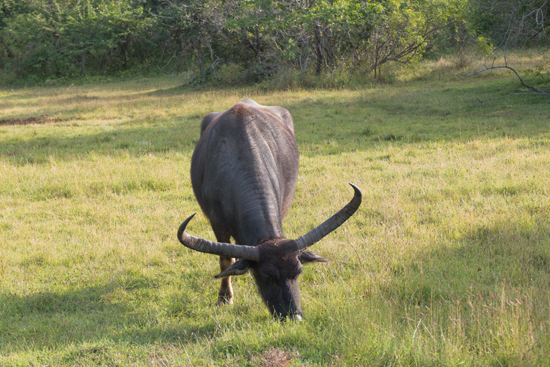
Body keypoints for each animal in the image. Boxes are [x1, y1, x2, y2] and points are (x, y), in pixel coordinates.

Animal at [179, 99, 364, 320]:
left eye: (298, 272)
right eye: (267, 277)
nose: (294, 317)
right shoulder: (216, 222)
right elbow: (225, 261)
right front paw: (225, 298)